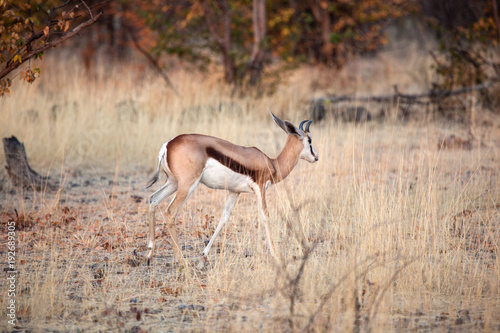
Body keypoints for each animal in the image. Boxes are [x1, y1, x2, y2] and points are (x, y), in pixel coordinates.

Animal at [145, 111, 318, 264]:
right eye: (309, 140)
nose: (316, 157)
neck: (272, 163)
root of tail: (168, 145)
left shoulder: (234, 192)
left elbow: (224, 218)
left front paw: (204, 256)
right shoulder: (260, 189)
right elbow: (265, 216)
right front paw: (276, 255)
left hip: (173, 183)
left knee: (153, 199)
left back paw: (149, 254)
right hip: (187, 186)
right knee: (170, 212)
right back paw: (181, 261)